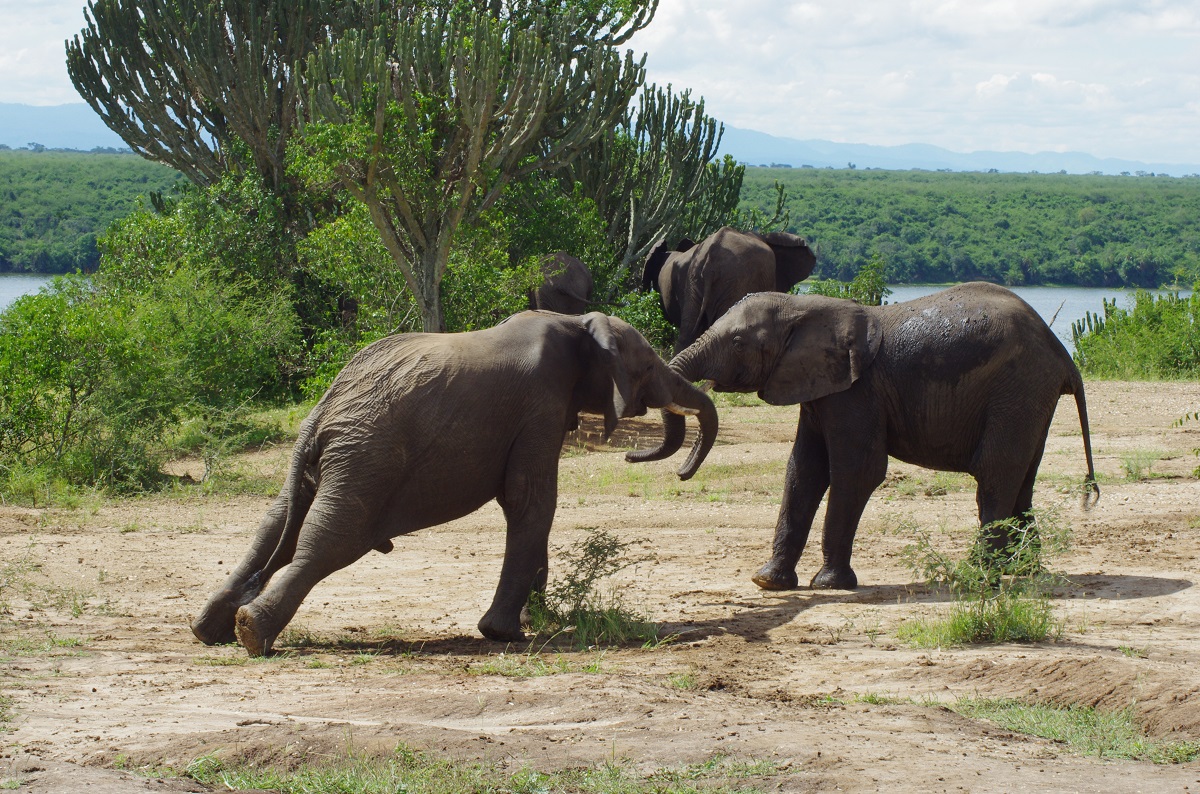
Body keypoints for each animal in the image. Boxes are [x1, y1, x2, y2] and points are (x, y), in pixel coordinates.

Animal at [187, 311, 710, 657]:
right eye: (647, 367)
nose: (635, 455)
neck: (575, 323)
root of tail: (319, 412)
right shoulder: (540, 405)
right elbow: (531, 501)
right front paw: (505, 633)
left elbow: (529, 506)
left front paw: (534, 621)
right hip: (368, 457)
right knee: (331, 539)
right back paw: (252, 634)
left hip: (336, 460)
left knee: (274, 528)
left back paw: (210, 631)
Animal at [667, 284, 1099, 590]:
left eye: (738, 343)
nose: (681, 473)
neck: (805, 306)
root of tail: (1062, 354)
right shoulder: (821, 391)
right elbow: (803, 471)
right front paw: (767, 581)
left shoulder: (857, 394)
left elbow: (857, 471)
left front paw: (829, 585)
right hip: (1029, 398)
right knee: (1022, 479)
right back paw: (1024, 571)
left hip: (1018, 388)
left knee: (994, 476)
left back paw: (973, 574)